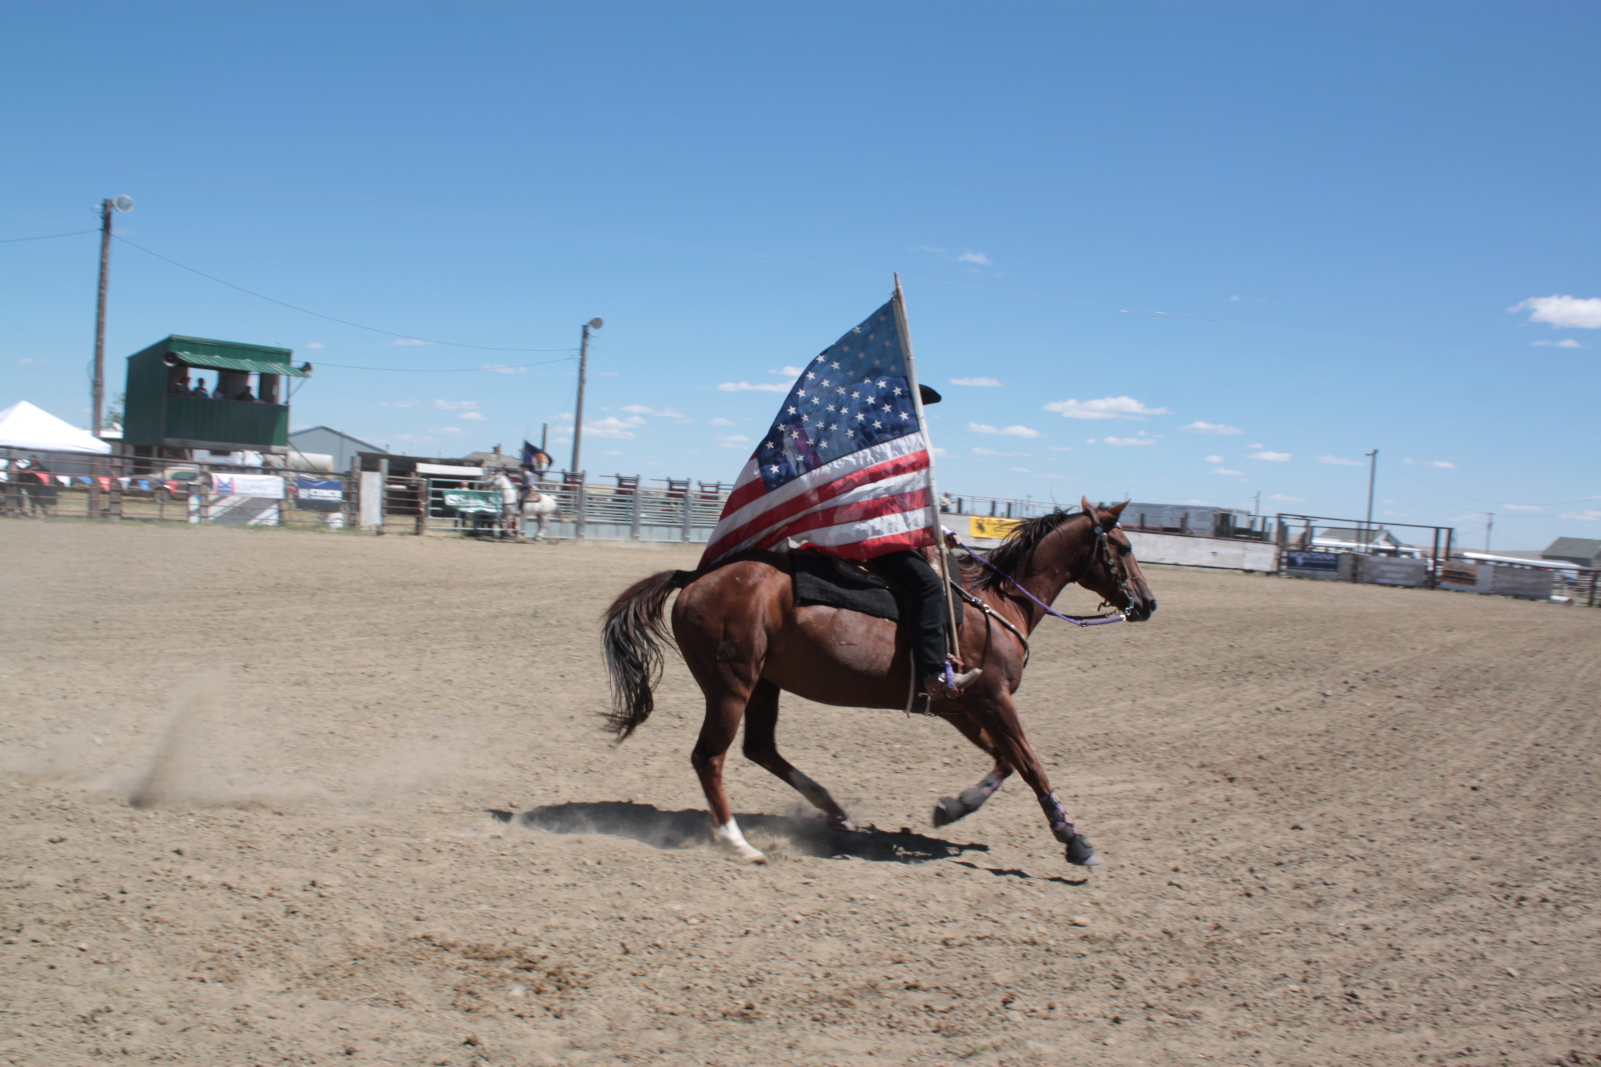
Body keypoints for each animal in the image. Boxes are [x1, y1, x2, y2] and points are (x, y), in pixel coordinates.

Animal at [598, 499, 1152, 865]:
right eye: (1124, 546)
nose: (1147, 603)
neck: (996, 603)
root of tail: (694, 578)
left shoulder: (961, 704)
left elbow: (1004, 761)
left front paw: (953, 808)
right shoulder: (993, 697)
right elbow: (1031, 764)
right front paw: (1074, 840)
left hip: (764, 683)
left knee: (760, 748)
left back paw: (833, 810)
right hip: (730, 685)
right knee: (710, 757)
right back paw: (739, 842)